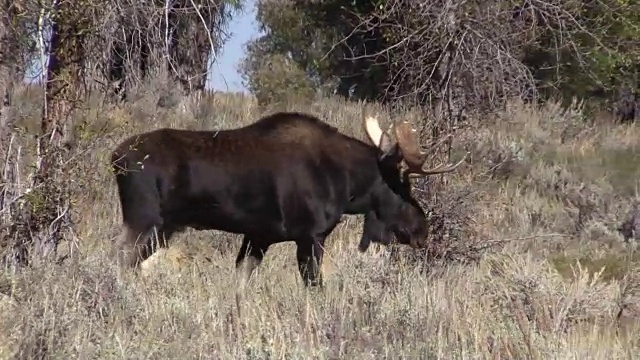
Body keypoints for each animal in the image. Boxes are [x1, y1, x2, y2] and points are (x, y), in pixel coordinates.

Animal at [111, 109, 464, 286]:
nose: (422, 230)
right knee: (119, 262)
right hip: (144, 222)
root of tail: (114, 157)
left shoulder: (258, 237)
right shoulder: (311, 236)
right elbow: (315, 289)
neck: (348, 184)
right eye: (403, 187)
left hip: (162, 229)